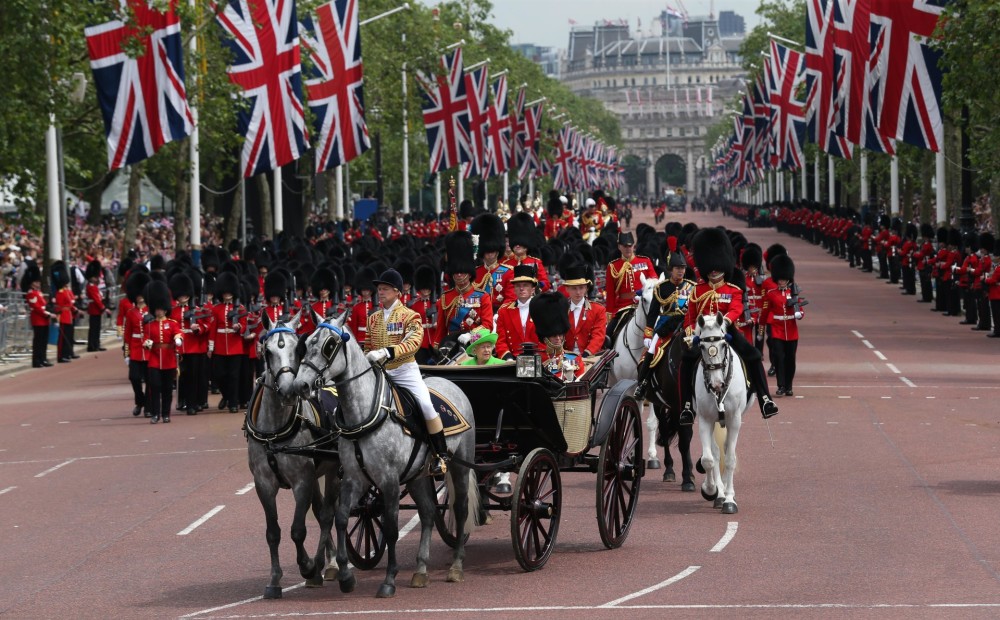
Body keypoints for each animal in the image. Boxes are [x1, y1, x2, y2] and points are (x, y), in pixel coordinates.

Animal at [247, 312, 338, 600]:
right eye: (267, 351)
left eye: (298, 348)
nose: (289, 390)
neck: (274, 431)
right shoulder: (264, 484)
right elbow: (273, 533)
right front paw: (274, 580)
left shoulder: (302, 482)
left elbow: (298, 530)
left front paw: (308, 566)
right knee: (321, 512)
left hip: (335, 471)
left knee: (329, 514)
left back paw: (329, 565)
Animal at [292, 312, 478, 600]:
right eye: (306, 341)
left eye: (329, 345)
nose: (300, 385)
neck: (363, 414)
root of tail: (451, 383)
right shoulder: (355, 478)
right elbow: (341, 518)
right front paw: (346, 576)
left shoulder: (389, 481)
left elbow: (390, 529)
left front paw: (389, 579)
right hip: (417, 475)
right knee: (427, 512)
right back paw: (421, 570)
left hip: (460, 467)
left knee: (459, 509)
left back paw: (456, 565)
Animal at [608, 276, 664, 470]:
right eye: (645, 299)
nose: (657, 328)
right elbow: (627, 419)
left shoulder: (649, 388)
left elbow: (651, 422)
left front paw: (653, 455)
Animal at [696, 312, 752, 516]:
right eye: (702, 346)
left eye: (722, 345)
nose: (717, 384)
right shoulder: (704, 420)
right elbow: (708, 459)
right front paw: (711, 490)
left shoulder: (734, 420)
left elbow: (729, 459)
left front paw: (729, 500)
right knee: (715, 452)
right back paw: (718, 494)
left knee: (727, 450)